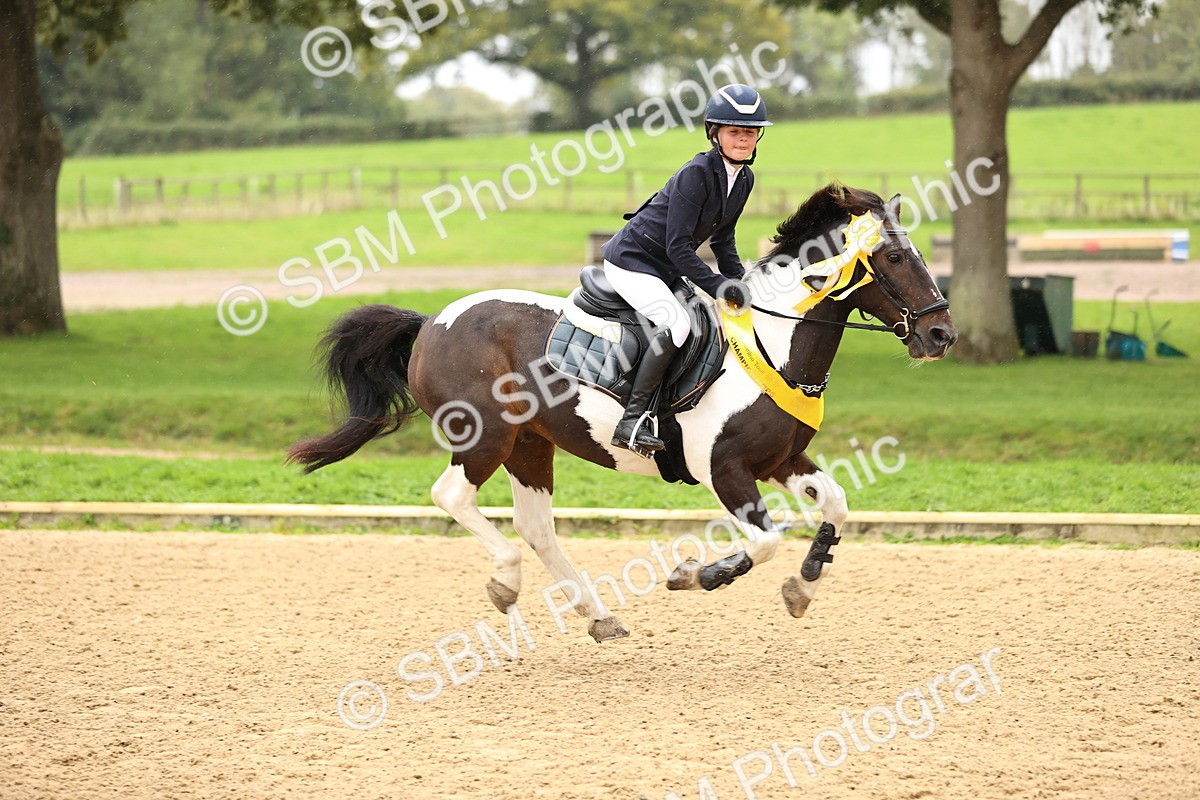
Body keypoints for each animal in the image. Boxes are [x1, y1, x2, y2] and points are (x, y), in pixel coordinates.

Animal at [287, 183, 956, 642]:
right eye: (895, 260)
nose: (942, 335)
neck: (777, 342)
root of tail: (432, 321)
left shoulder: (782, 459)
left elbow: (836, 504)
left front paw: (803, 585)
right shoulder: (726, 470)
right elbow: (765, 540)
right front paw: (698, 576)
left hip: (531, 444)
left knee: (536, 526)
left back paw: (597, 615)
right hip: (486, 438)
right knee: (455, 497)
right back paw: (506, 581)